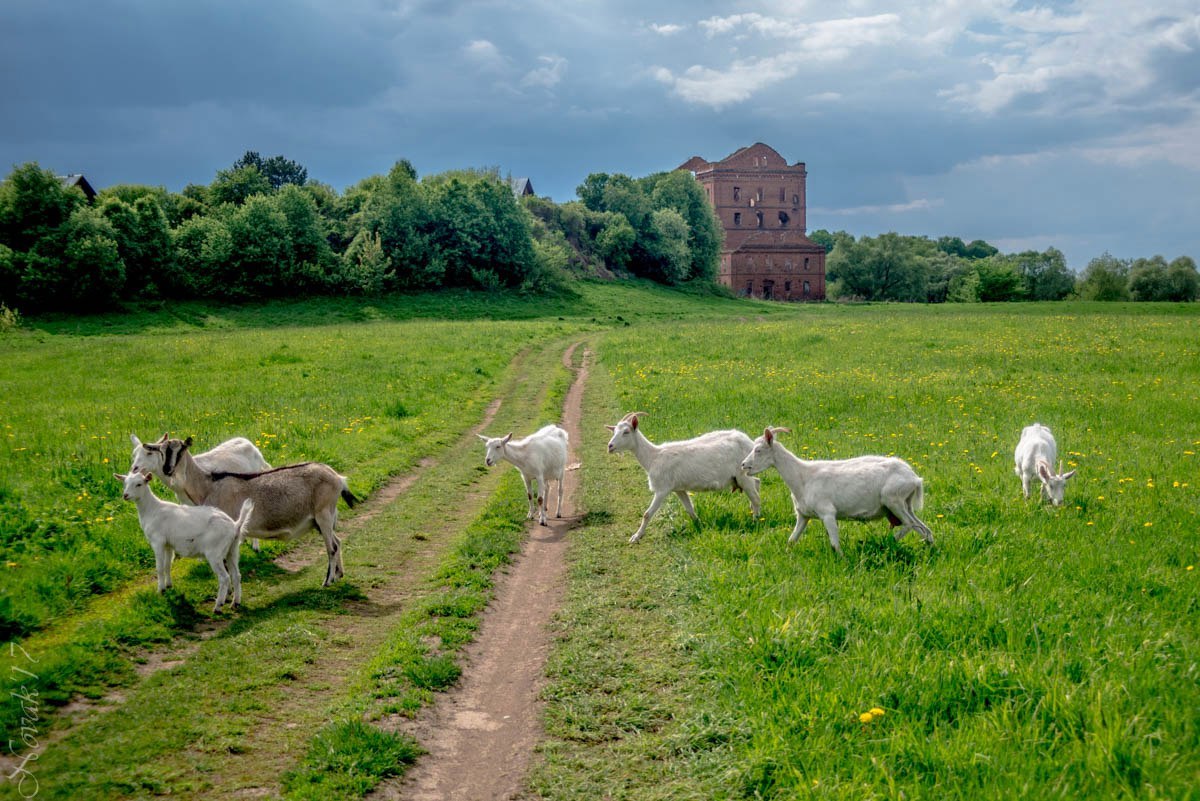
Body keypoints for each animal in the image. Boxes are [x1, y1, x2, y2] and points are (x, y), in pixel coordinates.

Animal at [115, 470, 253, 613]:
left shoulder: (157, 541)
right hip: (232, 549)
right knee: (236, 575)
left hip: (214, 552)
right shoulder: (168, 544)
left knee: (224, 578)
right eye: (124, 483)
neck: (152, 509)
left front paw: (160, 590)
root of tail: (235, 526)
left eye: (139, 484)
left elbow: (159, 567)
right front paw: (168, 586)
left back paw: (218, 606)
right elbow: (167, 565)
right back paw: (235, 603)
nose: (125, 495)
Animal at [604, 412, 763, 544]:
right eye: (614, 431)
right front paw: (700, 525)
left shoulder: (662, 489)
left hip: (742, 474)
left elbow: (647, 514)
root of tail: (749, 442)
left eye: (626, 432)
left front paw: (636, 537)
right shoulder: (678, 489)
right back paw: (754, 512)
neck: (653, 457)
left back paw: (756, 521)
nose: (610, 446)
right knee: (756, 483)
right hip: (743, 476)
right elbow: (689, 509)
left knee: (755, 497)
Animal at [739, 429, 936, 553]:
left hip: (893, 499)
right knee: (924, 529)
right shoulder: (803, 515)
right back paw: (929, 550)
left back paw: (889, 541)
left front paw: (841, 559)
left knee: (910, 524)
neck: (803, 477)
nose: (743, 465)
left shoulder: (827, 513)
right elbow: (792, 540)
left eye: (758, 450)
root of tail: (915, 479)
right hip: (905, 504)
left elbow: (835, 545)